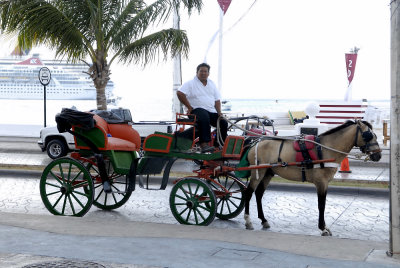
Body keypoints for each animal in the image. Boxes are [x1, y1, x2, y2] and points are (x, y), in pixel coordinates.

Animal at [242, 120, 382, 236]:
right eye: (368, 135)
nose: (378, 155)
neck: (324, 149)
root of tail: (256, 143)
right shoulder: (321, 182)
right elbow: (322, 205)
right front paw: (323, 228)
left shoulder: (325, 183)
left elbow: (323, 204)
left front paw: (324, 226)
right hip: (258, 172)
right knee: (248, 193)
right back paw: (248, 220)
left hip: (268, 173)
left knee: (259, 193)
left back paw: (263, 220)